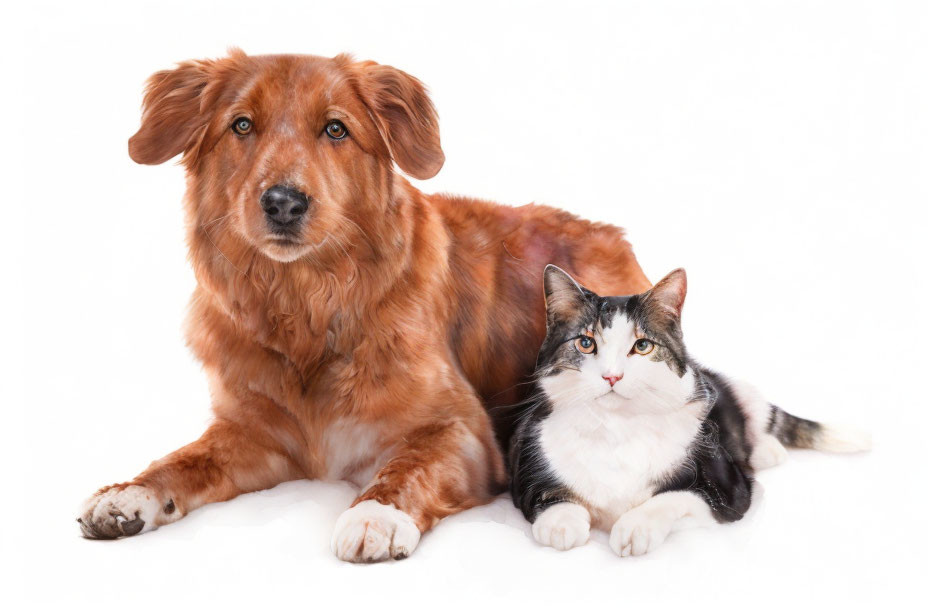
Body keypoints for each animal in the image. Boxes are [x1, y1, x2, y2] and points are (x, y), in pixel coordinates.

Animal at [76, 50, 648, 564]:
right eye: (241, 125)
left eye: (335, 129)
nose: (283, 202)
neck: (306, 306)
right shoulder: (256, 434)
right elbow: (184, 459)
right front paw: (131, 492)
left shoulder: (462, 431)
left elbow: (408, 467)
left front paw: (376, 515)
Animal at [508, 266, 872, 556]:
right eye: (585, 343)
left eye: (642, 346)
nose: (612, 376)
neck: (616, 427)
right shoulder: (525, 465)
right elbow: (543, 495)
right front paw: (561, 522)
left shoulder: (730, 490)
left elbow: (677, 496)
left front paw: (635, 527)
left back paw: (768, 450)